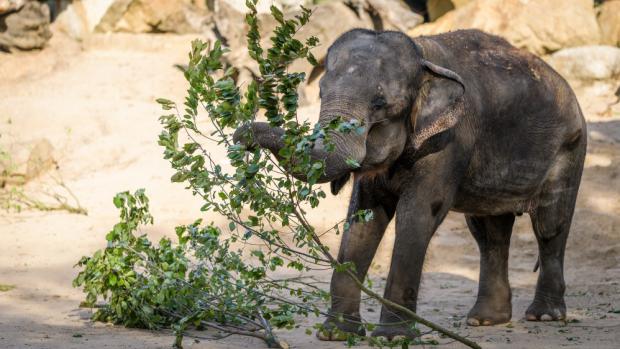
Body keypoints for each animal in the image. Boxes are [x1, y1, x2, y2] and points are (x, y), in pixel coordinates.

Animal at [232, 28, 588, 338]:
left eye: (379, 104)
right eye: (320, 93)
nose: (241, 137)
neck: (423, 57)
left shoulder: (448, 139)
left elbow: (416, 215)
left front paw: (393, 336)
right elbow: (363, 219)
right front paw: (336, 334)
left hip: (570, 147)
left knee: (550, 225)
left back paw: (544, 316)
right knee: (488, 232)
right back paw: (486, 320)